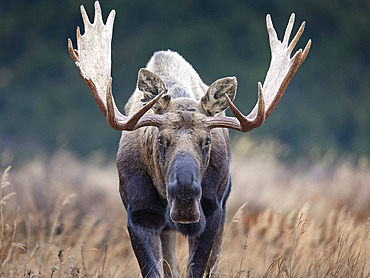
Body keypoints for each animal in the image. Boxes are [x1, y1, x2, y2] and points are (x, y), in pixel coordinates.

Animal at [68, 1, 310, 276]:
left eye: (207, 140)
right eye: (160, 139)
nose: (184, 196)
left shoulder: (213, 209)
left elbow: (197, 268)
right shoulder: (139, 214)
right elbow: (156, 270)